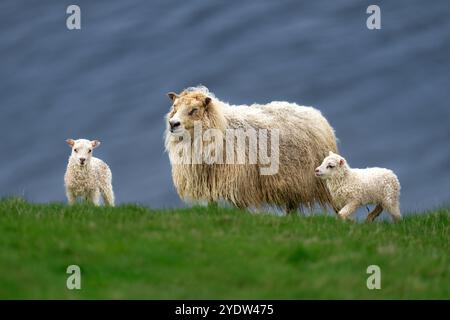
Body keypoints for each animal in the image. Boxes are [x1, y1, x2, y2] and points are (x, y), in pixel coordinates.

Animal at [165, 86, 338, 214]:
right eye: (174, 107)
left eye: (194, 110)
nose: (173, 124)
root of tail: (316, 114)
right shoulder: (211, 181)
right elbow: (212, 205)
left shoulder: (239, 183)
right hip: (292, 184)